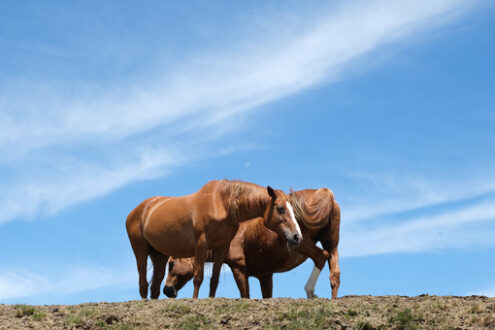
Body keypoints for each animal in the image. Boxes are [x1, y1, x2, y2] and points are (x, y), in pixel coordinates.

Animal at [125, 179, 302, 300]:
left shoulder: (222, 247)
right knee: (143, 283)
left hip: (159, 254)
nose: (296, 237)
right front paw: (195, 300)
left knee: (154, 287)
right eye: (280, 209)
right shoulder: (202, 244)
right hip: (140, 249)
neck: (222, 204)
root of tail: (139, 210)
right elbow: (198, 276)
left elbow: (214, 280)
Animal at [163, 188, 340, 300]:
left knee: (320, 257)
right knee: (334, 275)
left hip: (303, 244)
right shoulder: (265, 276)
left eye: (171, 264)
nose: (166, 290)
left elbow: (245, 295)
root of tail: (325, 193)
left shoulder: (239, 268)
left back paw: (310, 292)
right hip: (332, 245)